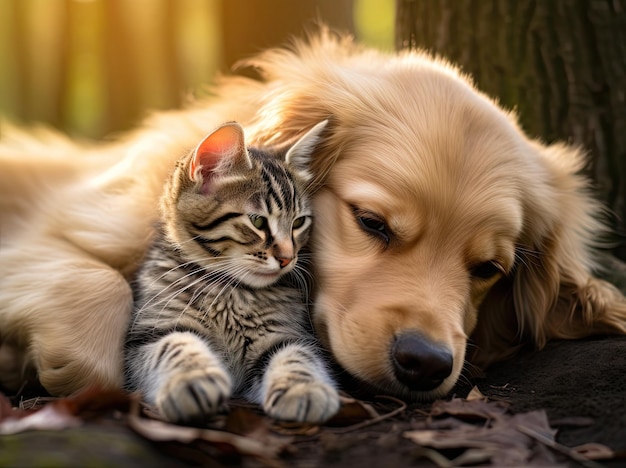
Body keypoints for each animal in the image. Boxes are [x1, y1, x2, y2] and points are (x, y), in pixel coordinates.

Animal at [125, 119, 338, 424]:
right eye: (258, 221)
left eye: (299, 222)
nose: (288, 258)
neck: (229, 291)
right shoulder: (150, 331)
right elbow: (175, 344)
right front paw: (193, 379)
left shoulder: (287, 333)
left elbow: (297, 355)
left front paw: (302, 387)